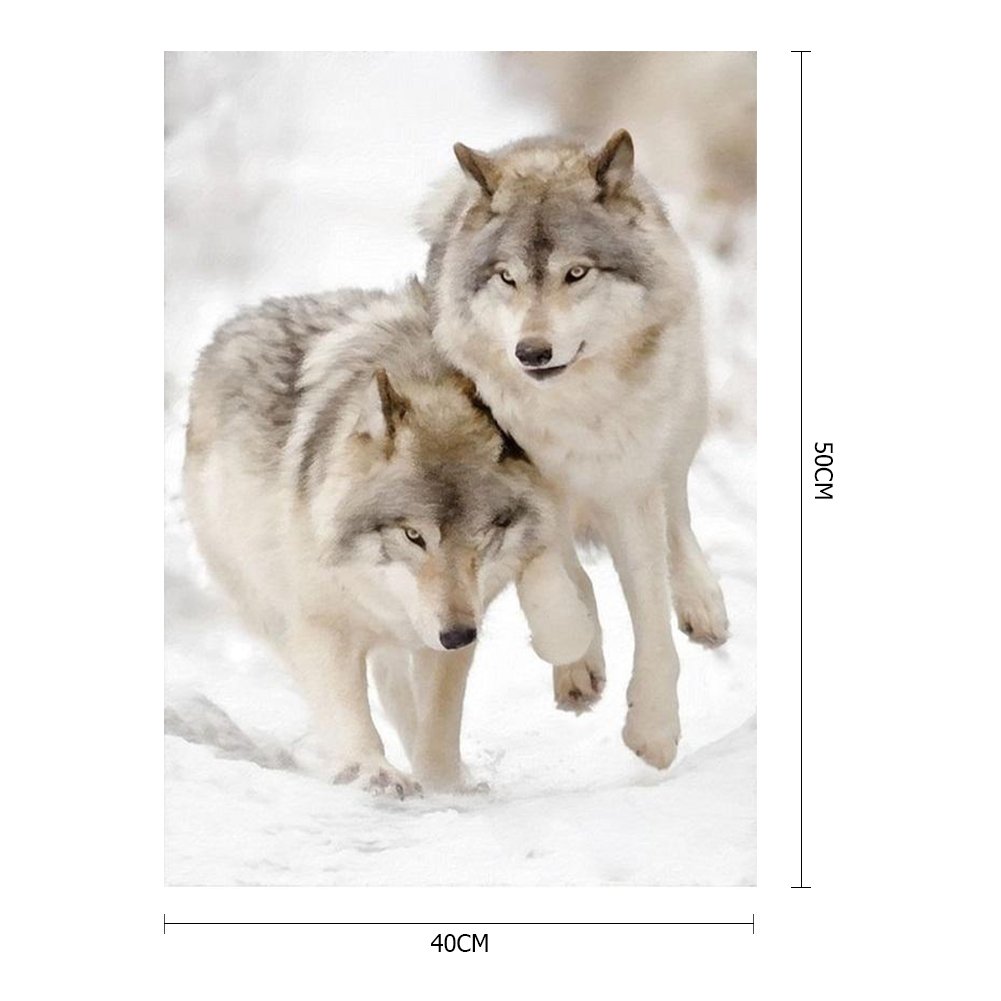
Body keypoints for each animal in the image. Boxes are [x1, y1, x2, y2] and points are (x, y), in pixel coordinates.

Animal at [184, 280, 592, 796]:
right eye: (413, 535)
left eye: (483, 534)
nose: (458, 634)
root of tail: (236, 323)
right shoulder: (323, 626)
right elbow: (349, 713)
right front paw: (372, 772)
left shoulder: (453, 626)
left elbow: (438, 726)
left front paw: (445, 785)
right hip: (270, 608)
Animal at [420, 130, 729, 770]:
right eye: (508, 278)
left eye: (577, 273)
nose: (531, 352)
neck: (573, 414)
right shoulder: (521, 484)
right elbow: (553, 583)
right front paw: (573, 651)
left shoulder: (630, 487)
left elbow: (652, 618)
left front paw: (654, 731)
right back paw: (580, 667)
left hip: (681, 425)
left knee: (679, 516)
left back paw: (704, 606)